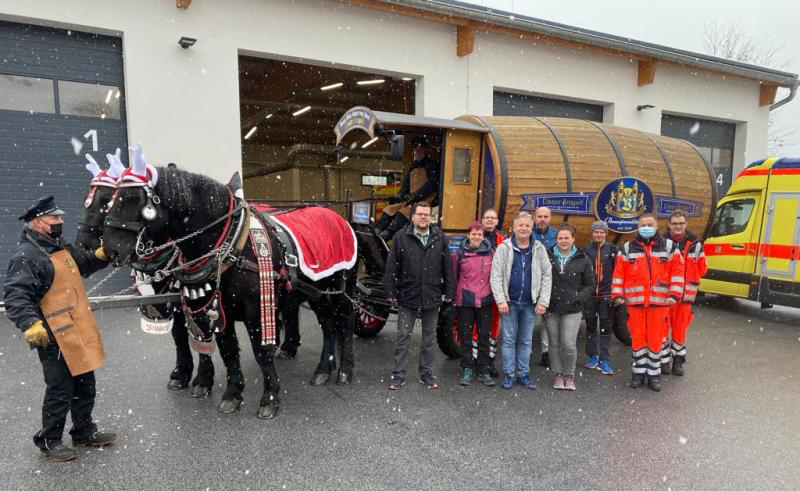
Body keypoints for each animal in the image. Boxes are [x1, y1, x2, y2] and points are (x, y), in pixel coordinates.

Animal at [77, 160, 216, 398]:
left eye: (105, 200)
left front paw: (203, 379)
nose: (82, 244)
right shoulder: (170, 298)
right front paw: (182, 373)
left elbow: (201, 329)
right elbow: (179, 334)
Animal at [102, 165, 356, 418]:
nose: (110, 249)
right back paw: (324, 368)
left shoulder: (256, 310)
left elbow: (261, 352)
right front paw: (232, 393)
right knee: (327, 324)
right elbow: (226, 349)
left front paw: (269, 398)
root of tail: (338, 216)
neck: (232, 244)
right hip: (317, 293)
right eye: (110, 199)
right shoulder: (218, 309)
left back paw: (344, 369)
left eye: (134, 197)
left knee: (344, 323)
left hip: (342, 289)